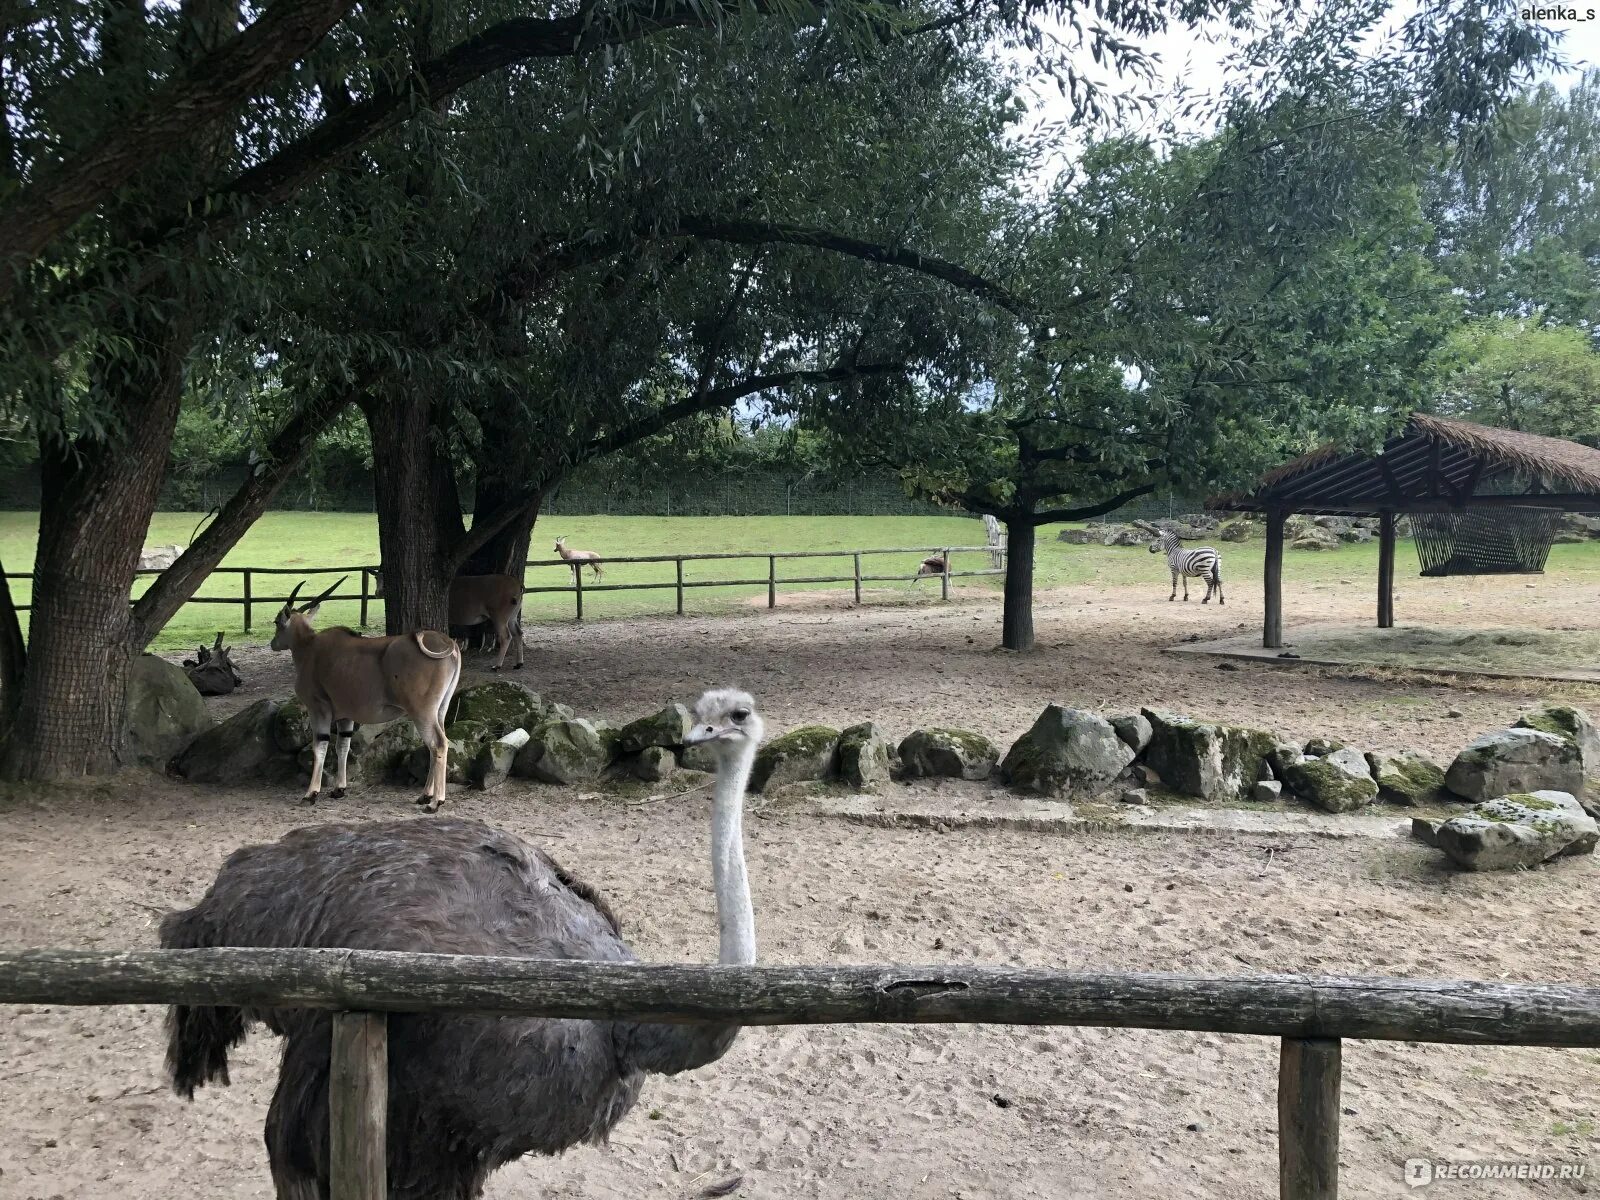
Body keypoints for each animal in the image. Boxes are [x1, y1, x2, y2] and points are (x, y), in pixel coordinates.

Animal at [270, 579, 464, 812]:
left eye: (277, 622)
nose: (272, 643)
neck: (310, 648)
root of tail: (450, 645)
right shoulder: (345, 716)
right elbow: (342, 746)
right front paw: (339, 789)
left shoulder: (318, 709)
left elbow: (321, 746)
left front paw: (311, 793)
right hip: (439, 710)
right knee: (435, 745)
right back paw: (425, 795)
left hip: (422, 712)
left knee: (438, 744)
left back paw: (435, 802)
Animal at [371, 569, 528, 672]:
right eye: (376, 578)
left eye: (386, 579)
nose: (378, 592)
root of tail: (517, 584)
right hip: (512, 616)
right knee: (518, 633)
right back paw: (518, 663)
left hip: (499, 616)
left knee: (506, 636)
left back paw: (497, 665)